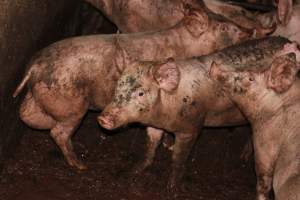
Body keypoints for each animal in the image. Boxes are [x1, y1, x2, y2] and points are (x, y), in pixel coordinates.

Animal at [12, 6, 255, 171]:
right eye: (224, 27)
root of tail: (35, 67)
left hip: (39, 98)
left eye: (225, 19)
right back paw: (81, 165)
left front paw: (167, 145)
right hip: (72, 105)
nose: (250, 30)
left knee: (28, 116)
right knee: (58, 132)